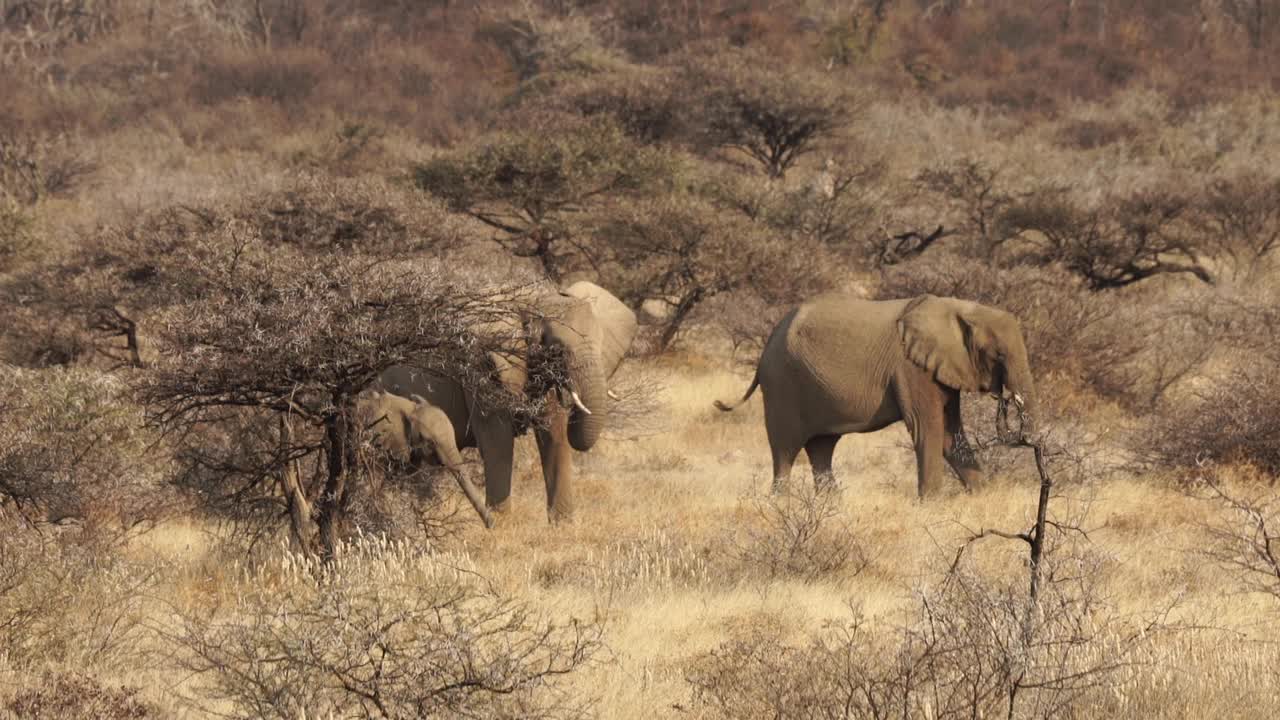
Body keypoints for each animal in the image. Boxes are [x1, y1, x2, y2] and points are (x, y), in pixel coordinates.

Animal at [373, 279, 637, 520]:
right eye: (557, 350)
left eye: (602, 345)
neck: (531, 300)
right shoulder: (481, 365)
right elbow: (497, 440)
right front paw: (501, 527)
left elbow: (555, 433)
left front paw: (563, 527)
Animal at [716, 294, 1034, 497]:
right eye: (999, 355)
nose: (1006, 399)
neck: (959, 308)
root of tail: (766, 346)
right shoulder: (910, 368)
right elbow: (928, 429)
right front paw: (932, 504)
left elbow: (949, 433)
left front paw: (982, 496)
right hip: (782, 385)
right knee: (785, 452)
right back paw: (781, 505)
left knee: (821, 449)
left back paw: (830, 506)